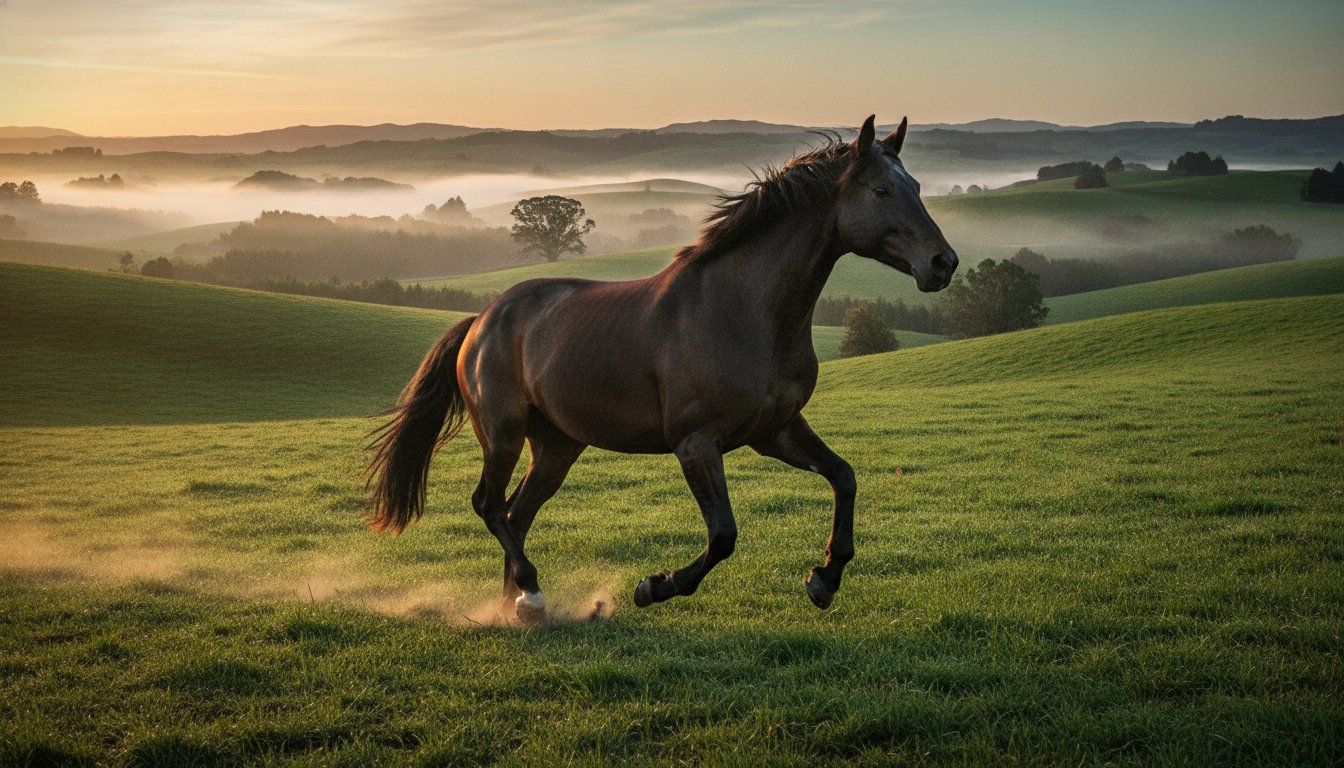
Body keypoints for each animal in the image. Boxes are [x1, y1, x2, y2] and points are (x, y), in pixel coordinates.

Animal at [365, 115, 957, 622]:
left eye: (916, 185)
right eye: (880, 191)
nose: (943, 263)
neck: (742, 309)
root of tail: (482, 321)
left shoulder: (776, 431)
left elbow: (844, 477)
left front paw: (824, 580)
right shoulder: (696, 442)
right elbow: (723, 535)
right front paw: (654, 586)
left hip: (557, 446)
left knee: (516, 514)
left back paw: (517, 605)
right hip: (504, 434)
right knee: (489, 505)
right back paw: (530, 594)